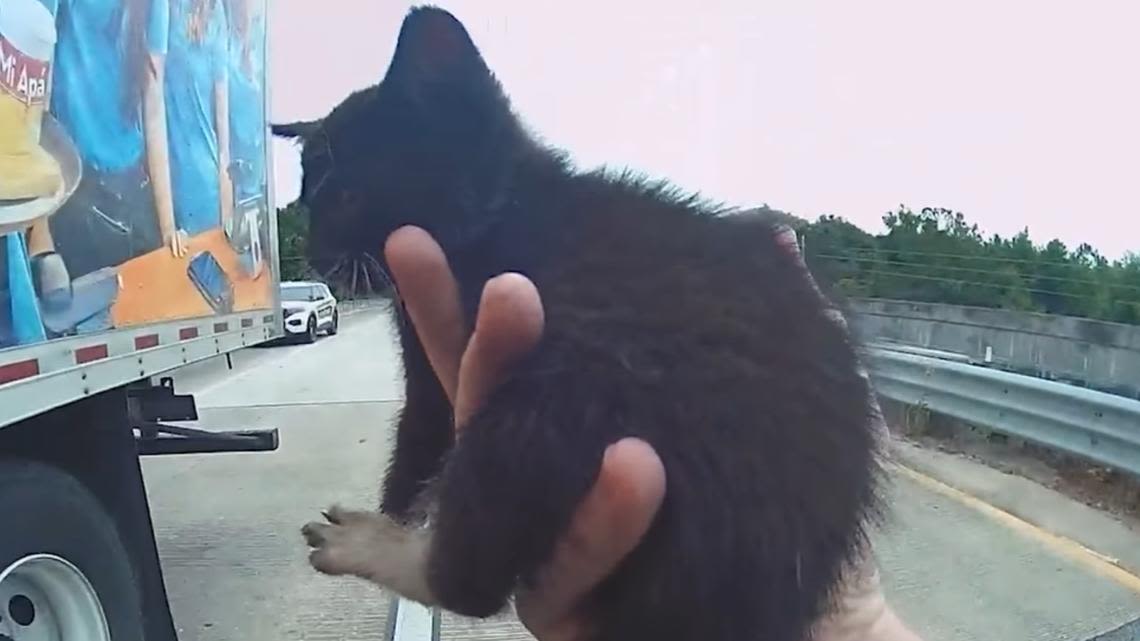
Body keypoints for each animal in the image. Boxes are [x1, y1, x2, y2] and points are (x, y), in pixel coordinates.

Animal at [275, 6, 880, 638]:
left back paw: (381, 548)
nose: (314, 254)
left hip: (568, 394)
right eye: (306, 199)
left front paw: (393, 507)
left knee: (471, 582)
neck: (505, 208)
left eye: (345, 195)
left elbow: (420, 425)